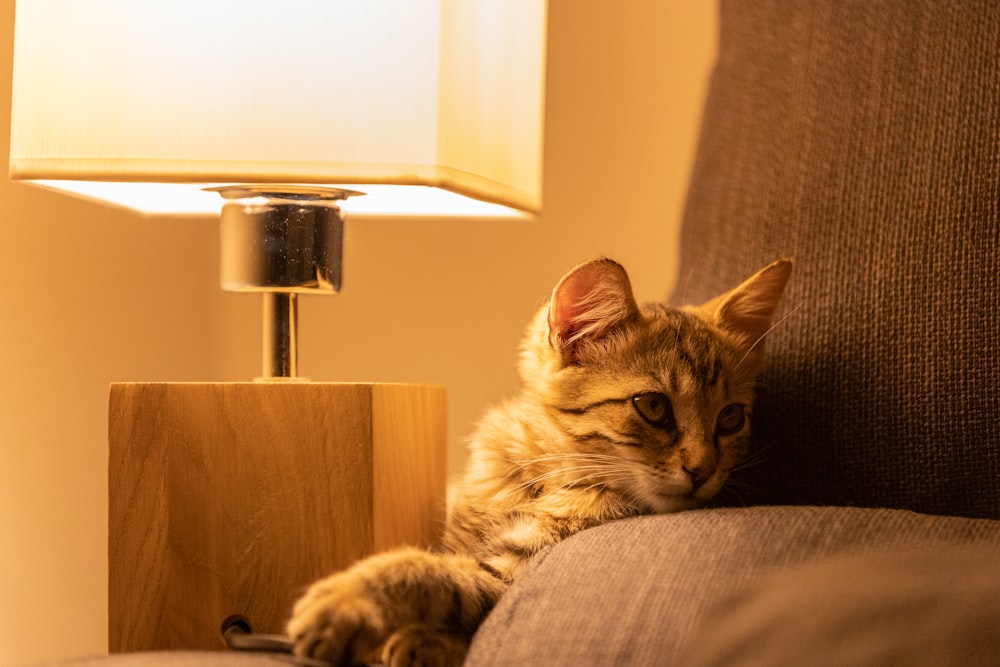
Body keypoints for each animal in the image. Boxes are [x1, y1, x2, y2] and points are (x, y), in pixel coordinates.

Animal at [288, 258, 788, 667]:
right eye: (653, 406)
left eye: (731, 417)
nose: (703, 470)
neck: (538, 479)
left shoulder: (507, 576)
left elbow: (429, 574)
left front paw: (355, 602)